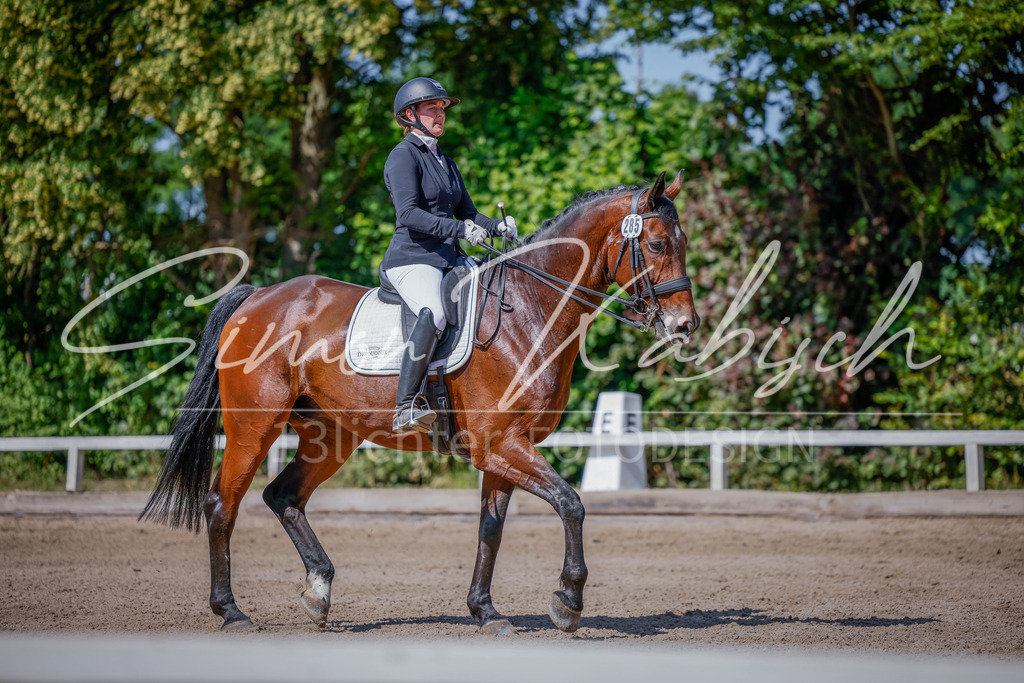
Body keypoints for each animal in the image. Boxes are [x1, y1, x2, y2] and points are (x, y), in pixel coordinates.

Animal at [141, 170, 700, 634]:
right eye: (655, 243)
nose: (684, 327)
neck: (528, 309)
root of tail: (256, 298)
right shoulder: (501, 445)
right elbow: (571, 504)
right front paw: (567, 601)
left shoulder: (502, 450)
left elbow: (491, 530)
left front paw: (486, 611)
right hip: (254, 428)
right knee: (223, 504)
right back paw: (231, 611)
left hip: (330, 437)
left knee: (283, 497)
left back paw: (319, 593)